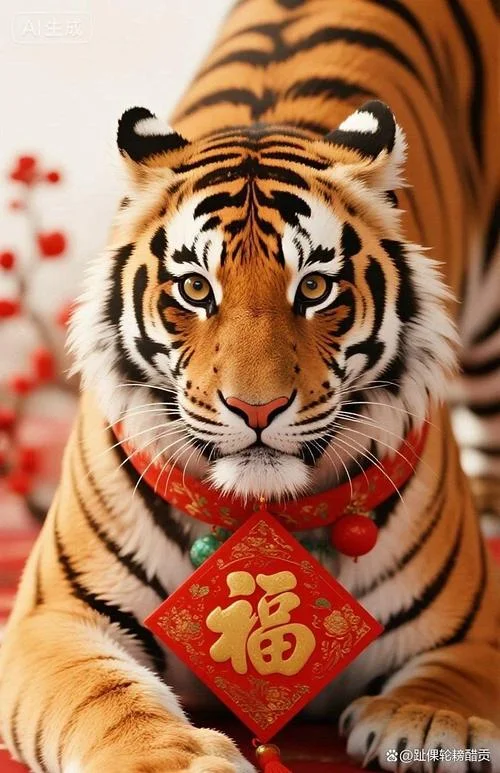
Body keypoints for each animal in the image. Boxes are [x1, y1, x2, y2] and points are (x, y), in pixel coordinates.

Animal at [1, 0, 499, 771]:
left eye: (315, 287)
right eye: (196, 288)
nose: (255, 408)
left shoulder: (473, 629)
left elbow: (455, 679)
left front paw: (431, 721)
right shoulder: (52, 617)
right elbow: (106, 697)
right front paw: (176, 759)